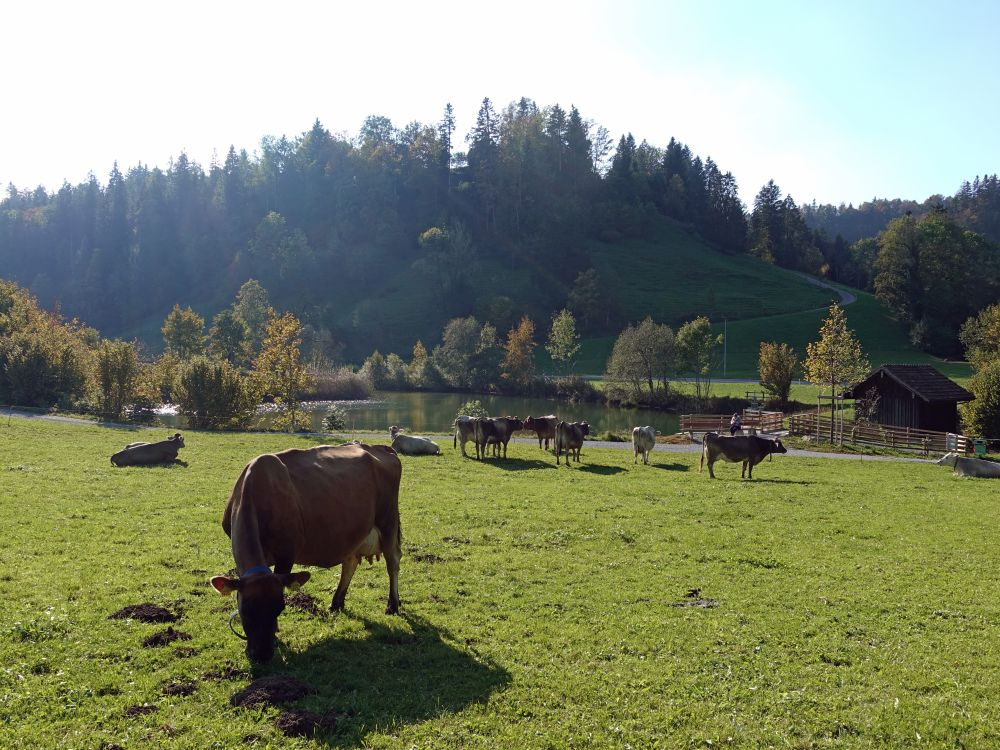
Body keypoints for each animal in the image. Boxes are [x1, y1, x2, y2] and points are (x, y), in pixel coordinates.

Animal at [211, 446, 402, 664]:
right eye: (245, 610)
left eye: (279, 609)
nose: (262, 655)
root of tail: (381, 448)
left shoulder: (287, 554)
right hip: (354, 532)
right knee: (350, 563)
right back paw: (336, 603)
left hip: (388, 522)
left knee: (393, 562)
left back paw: (392, 605)